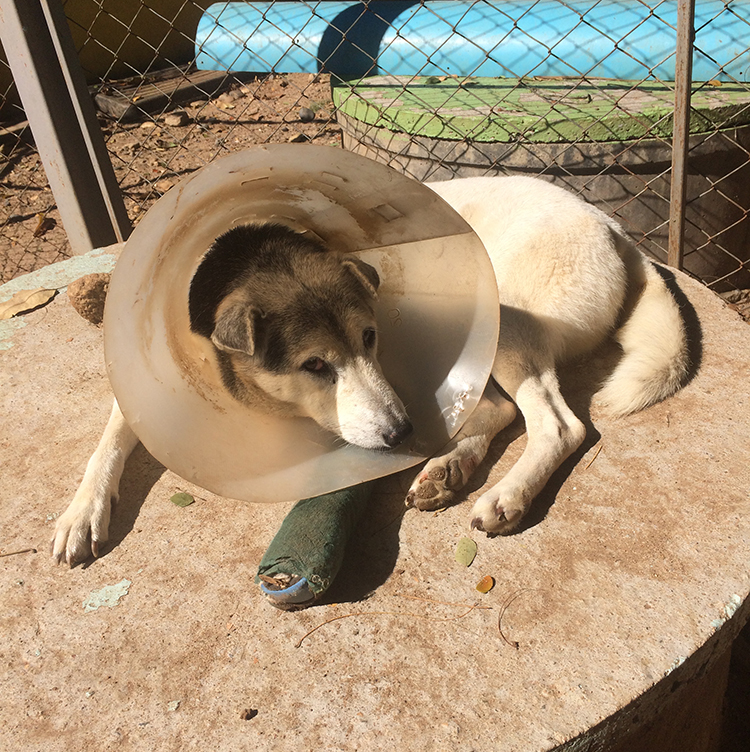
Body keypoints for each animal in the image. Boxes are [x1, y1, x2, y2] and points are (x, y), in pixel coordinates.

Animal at [50, 176, 692, 564]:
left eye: (370, 337)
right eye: (313, 364)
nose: (403, 433)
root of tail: (616, 230)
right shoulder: (143, 390)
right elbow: (108, 441)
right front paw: (81, 512)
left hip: (507, 318)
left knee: (558, 424)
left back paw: (506, 496)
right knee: (500, 408)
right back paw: (448, 469)